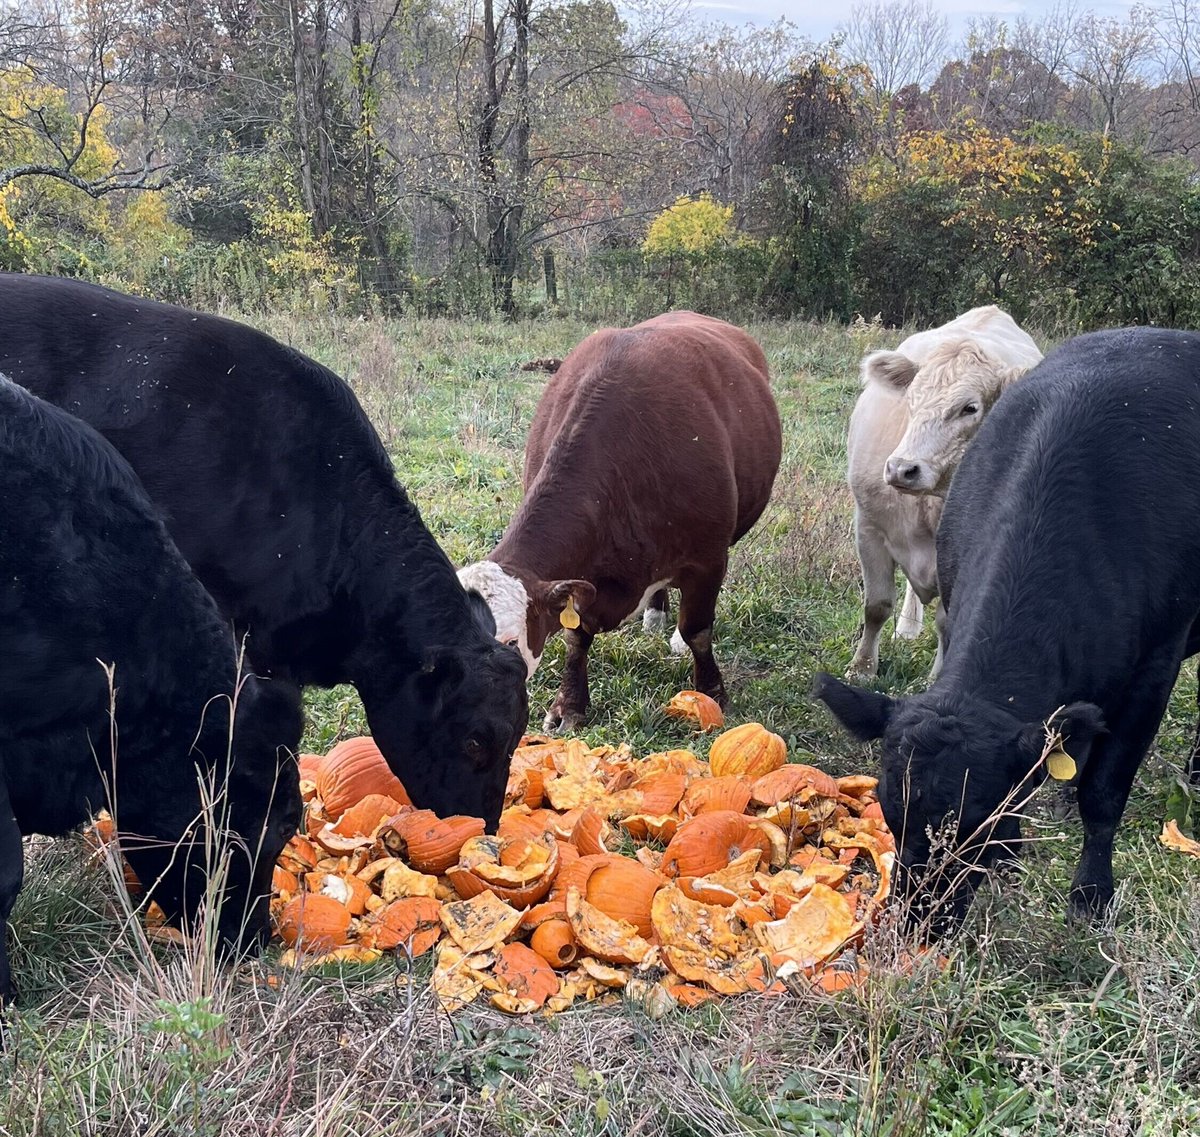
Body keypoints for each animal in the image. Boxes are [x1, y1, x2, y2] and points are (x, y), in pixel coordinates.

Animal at [458, 311, 782, 732]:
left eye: (512, 643)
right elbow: (576, 637)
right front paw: (569, 705)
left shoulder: (708, 558)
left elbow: (698, 629)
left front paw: (711, 693)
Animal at [846, 306, 1042, 679]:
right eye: (911, 399)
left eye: (970, 408)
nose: (902, 468)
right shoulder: (869, 528)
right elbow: (876, 605)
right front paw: (862, 667)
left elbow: (947, 623)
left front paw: (937, 676)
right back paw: (907, 627)